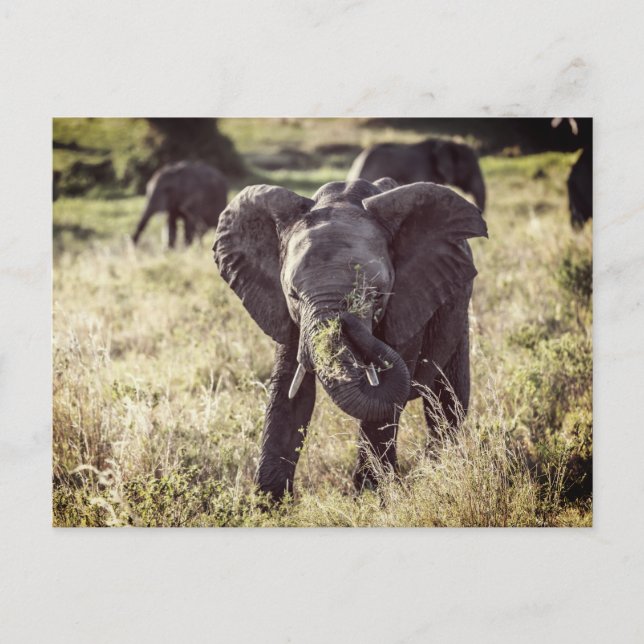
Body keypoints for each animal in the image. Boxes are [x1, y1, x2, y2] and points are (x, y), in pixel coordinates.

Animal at [213, 177, 487, 500]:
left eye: (376, 295)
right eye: (293, 295)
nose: (347, 320)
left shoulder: (409, 300)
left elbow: (386, 396)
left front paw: (372, 495)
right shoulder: (287, 316)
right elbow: (291, 390)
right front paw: (268, 502)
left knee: (447, 398)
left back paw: (439, 468)